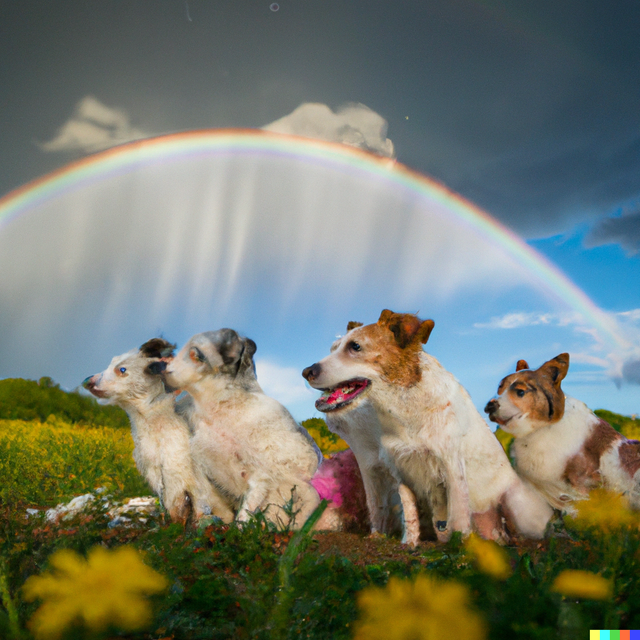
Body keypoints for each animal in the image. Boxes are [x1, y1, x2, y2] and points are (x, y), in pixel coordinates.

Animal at [84, 338, 234, 528]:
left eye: (122, 369)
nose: (87, 381)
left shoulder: (193, 477)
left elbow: (201, 503)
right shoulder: (158, 477)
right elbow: (174, 508)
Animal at [162, 330, 324, 528]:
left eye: (195, 355)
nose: (164, 371)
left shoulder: (262, 473)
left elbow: (246, 513)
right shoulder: (200, 465)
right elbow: (211, 502)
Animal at [302, 310, 552, 540]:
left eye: (355, 346)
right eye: (333, 348)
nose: (306, 371)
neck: (403, 409)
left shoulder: (452, 467)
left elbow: (458, 517)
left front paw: (461, 548)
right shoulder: (397, 469)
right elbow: (406, 514)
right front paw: (405, 544)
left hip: (515, 504)